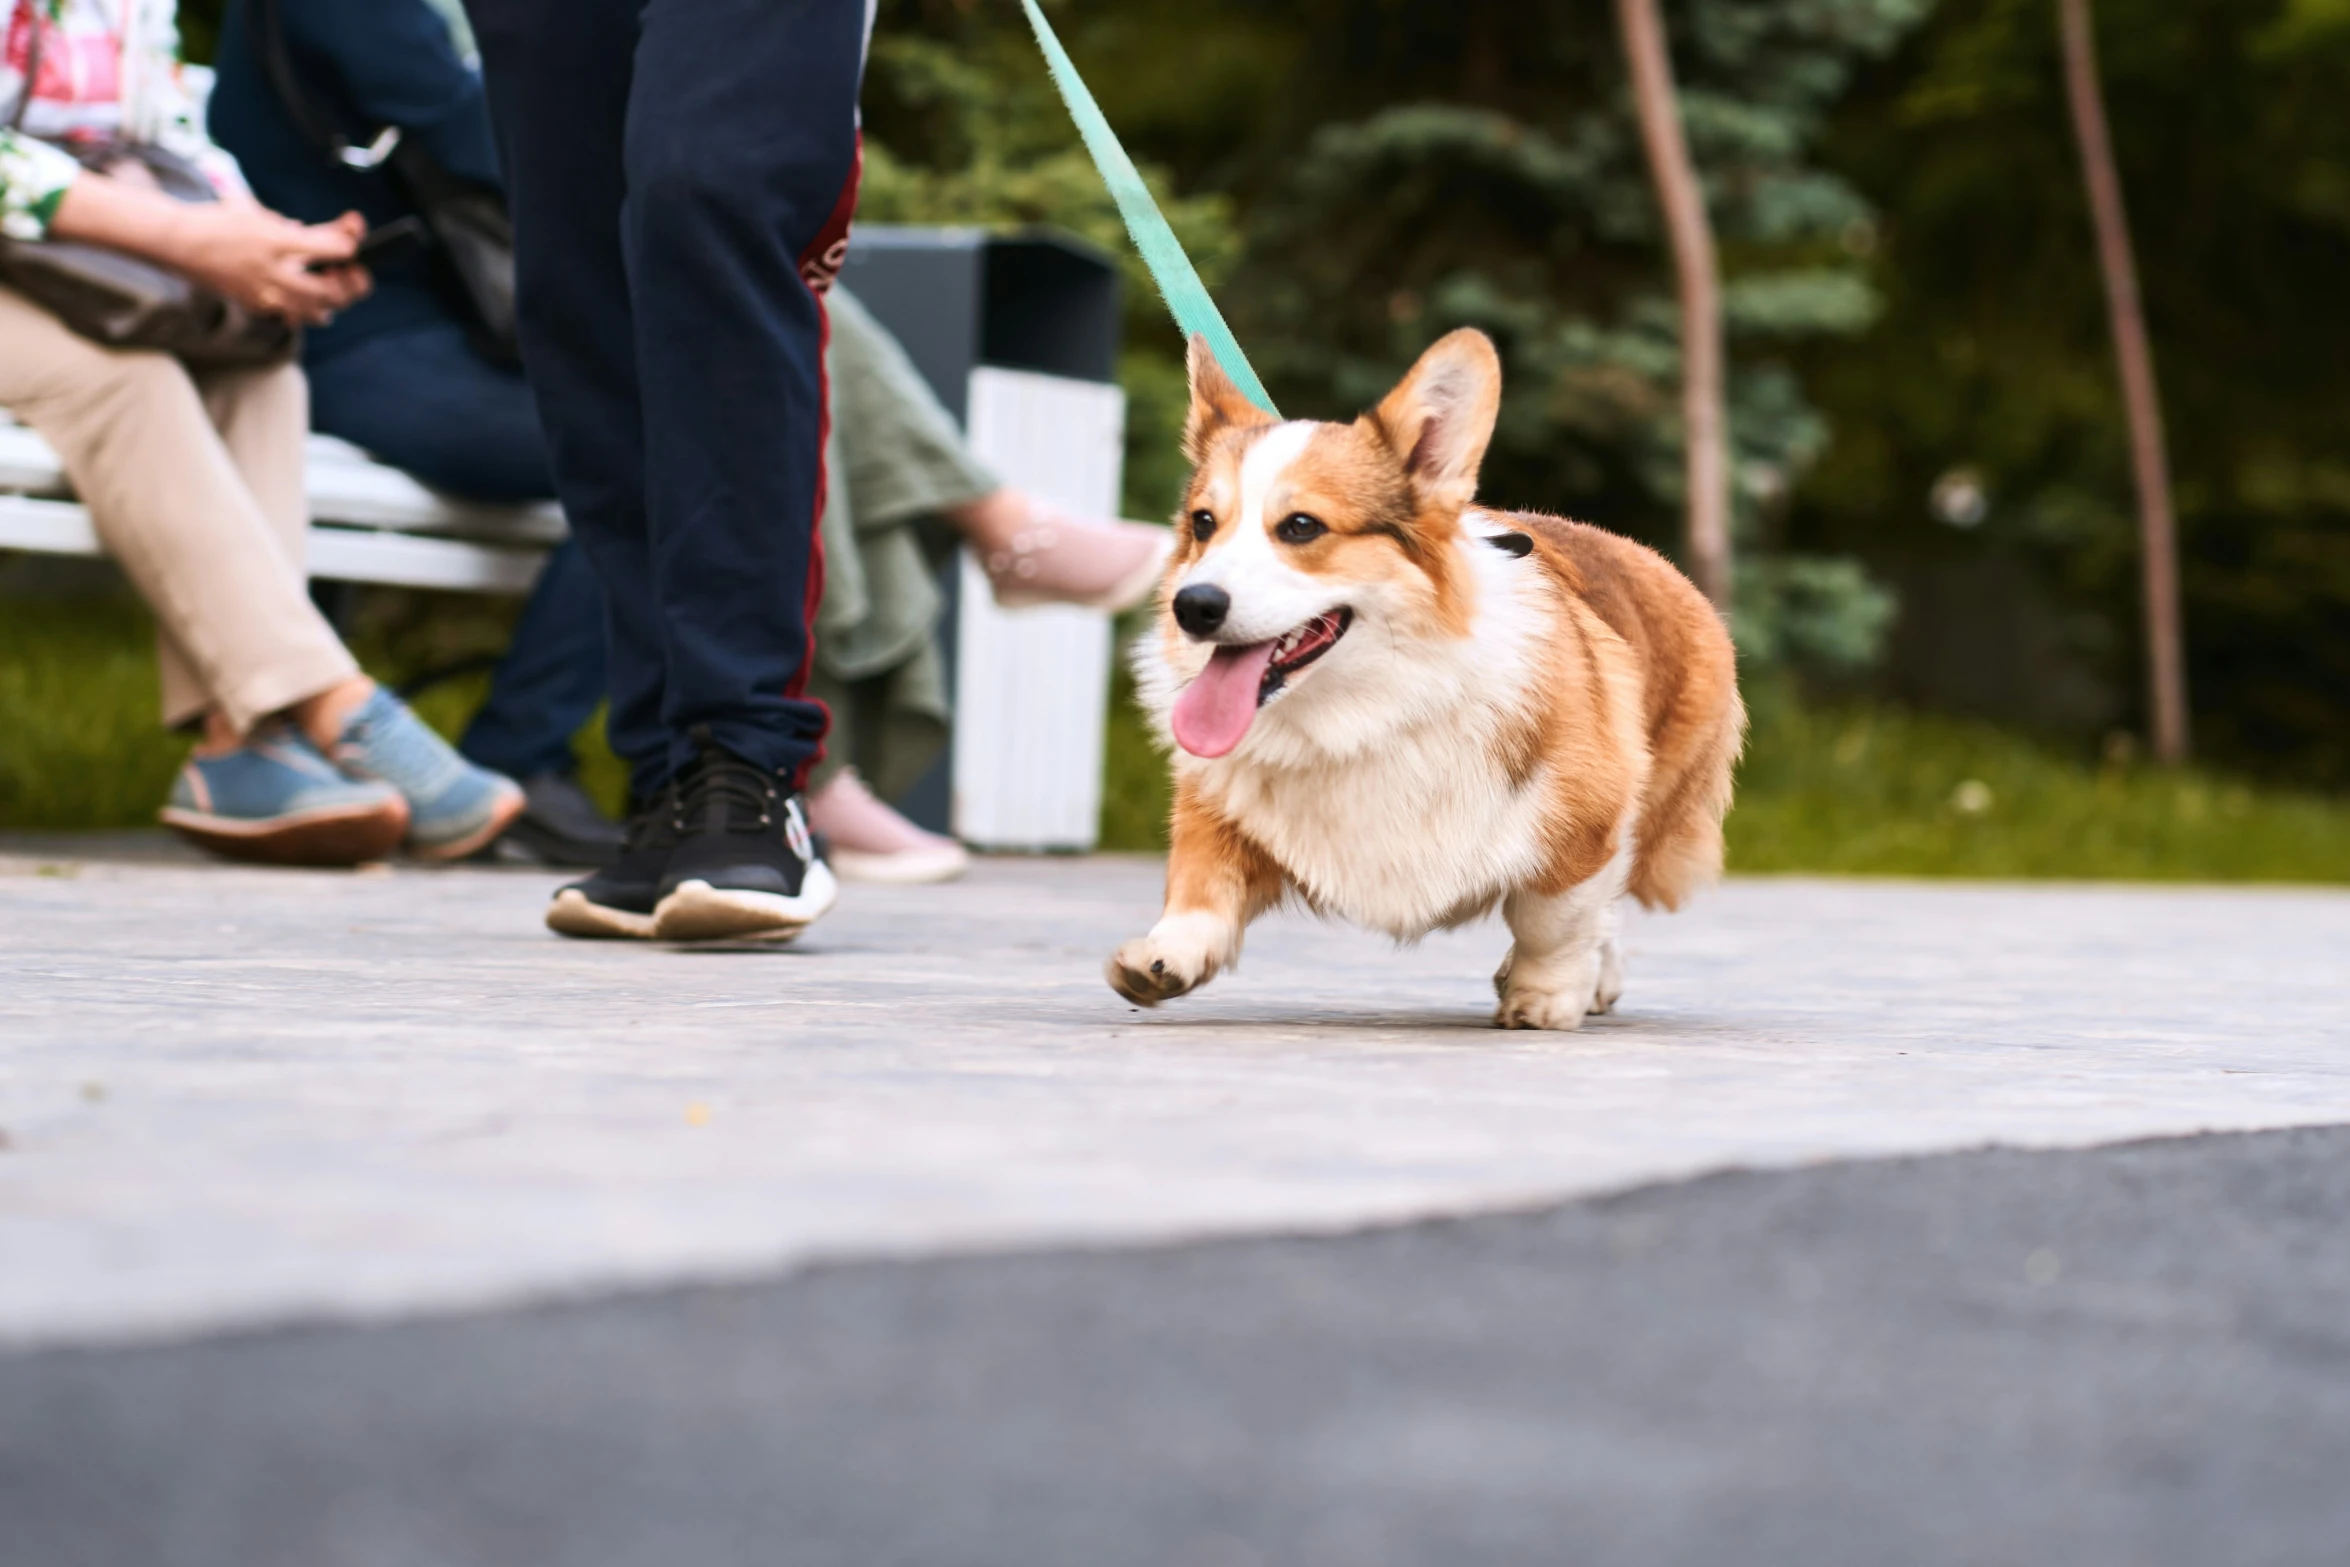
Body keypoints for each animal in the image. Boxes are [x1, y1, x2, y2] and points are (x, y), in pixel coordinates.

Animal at [1104, 331, 1748, 1029]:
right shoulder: (1219, 799)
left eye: (1302, 526)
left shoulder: (1586, 825)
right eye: (1202, 523)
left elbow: (1553, 919)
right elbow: (1201, 881)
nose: (1192, 606)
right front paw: (1166, 958)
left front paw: (1543, 995)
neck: (1363, 711)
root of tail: (1656, 560)